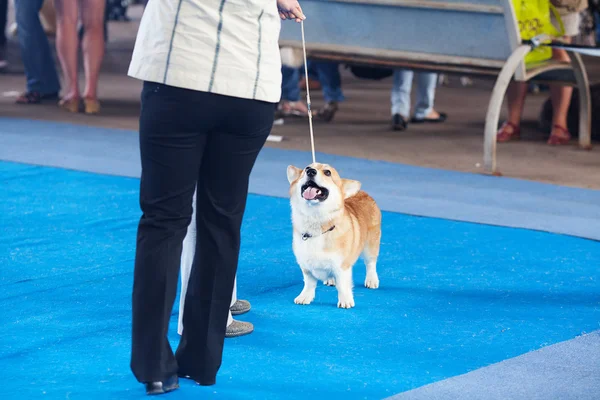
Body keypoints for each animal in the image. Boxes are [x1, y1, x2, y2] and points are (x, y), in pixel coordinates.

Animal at [284, 163, 380, 310]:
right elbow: (309, 283)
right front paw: (305, 297)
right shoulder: (306, 265)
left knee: (370, 263)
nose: (310, 171)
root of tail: (364, 193)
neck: (316, 225)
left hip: (371, 245)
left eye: (327, 172)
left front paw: (346, 301)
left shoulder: (342, 266)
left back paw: (372, 280)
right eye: (307, 168)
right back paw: (330, 279)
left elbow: (343, 285)